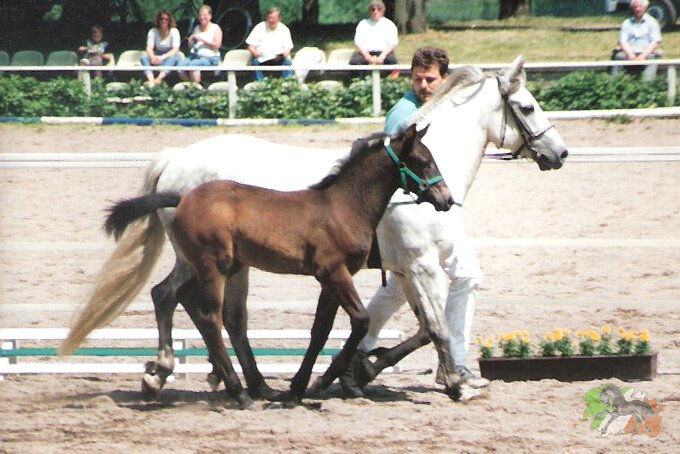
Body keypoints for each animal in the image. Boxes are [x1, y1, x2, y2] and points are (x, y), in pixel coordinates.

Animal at [98, 124, 453, 408]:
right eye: (422, 161)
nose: (446, 199)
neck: (341, 206)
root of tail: (182, 198)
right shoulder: (334, 272)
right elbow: (360, 321)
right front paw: (327, 380)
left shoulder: (330, 278)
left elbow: (320, 330)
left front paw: (298, 390)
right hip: (214, 266)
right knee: (210, 317)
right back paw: (239, 392)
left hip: (208, 264)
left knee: (169, 296)